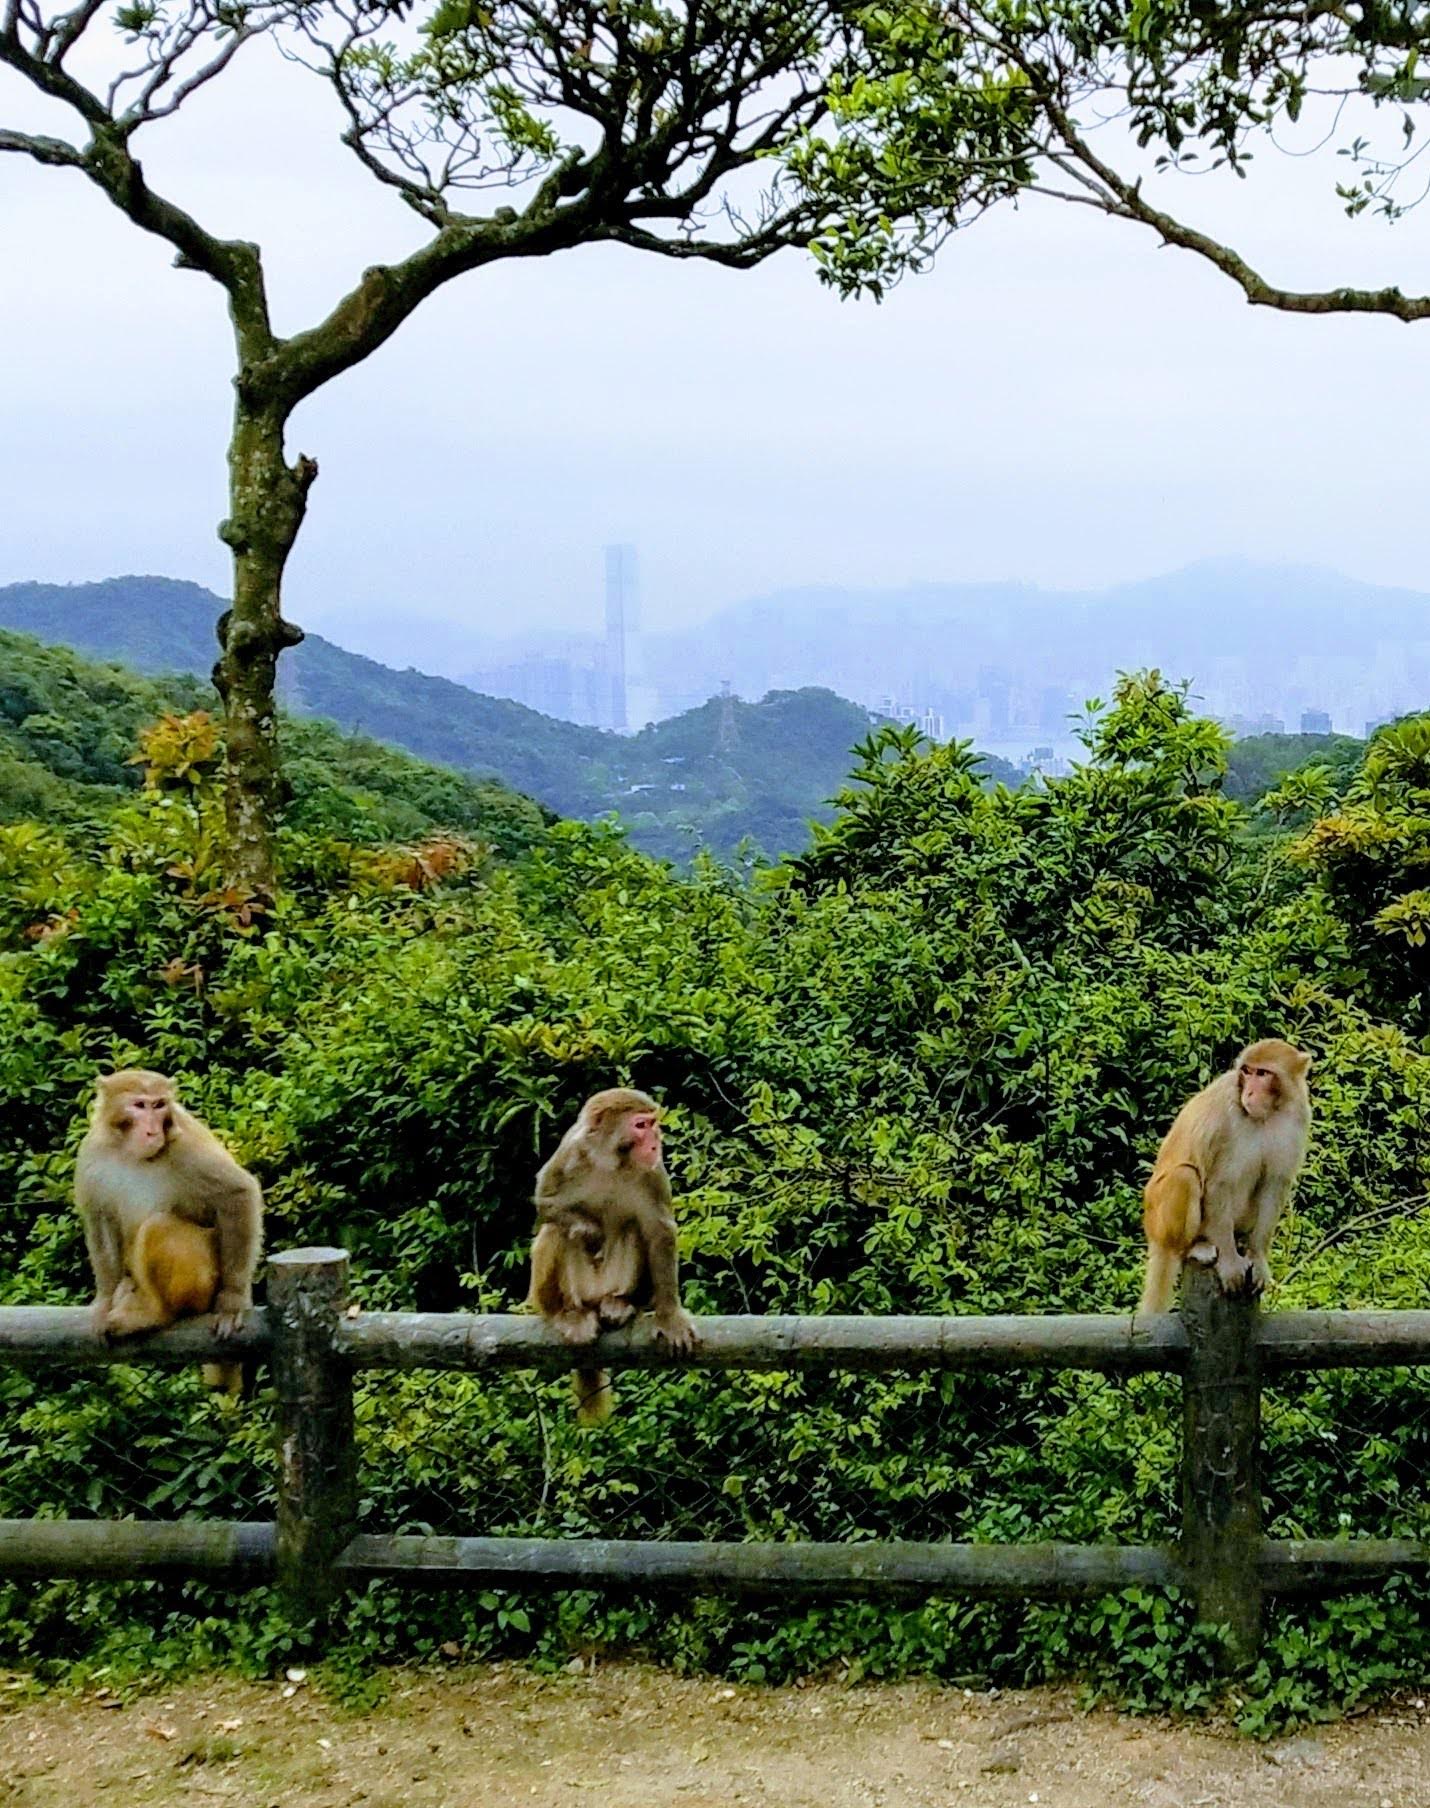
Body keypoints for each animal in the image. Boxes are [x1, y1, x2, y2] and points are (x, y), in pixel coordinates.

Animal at [73, 1063, 262, 1388]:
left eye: (159, 1105)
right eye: (140, 1105)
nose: (152, 1130)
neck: (130, 1153)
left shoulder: (185, 1144)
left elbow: (237, 1194)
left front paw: (233, 1300)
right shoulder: (92, 1155)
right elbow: (100, 1218)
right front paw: (105, 1299)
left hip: (205, 1281)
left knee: (160, 1226)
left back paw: (155, 1313)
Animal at [531, 1084, 697, 1424]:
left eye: (653, 1124)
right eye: (641, 1125)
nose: (656, 1141)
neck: (610, 1160)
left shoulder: (653, 1172)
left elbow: (658, 1230)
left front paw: (670, 1317)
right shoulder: (569, 1152)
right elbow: (546, 1202)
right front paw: (588, 1229)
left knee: (634, 1228)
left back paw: (620, 1303)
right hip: (568, 1291)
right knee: (555, 1231)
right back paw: (565, 1312)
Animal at [1135, 1048, 1316, 1316]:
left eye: (1262, 1073)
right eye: (1247, 1071)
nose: (1249, 1092)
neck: (1267, 1113)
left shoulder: (1297, 1116)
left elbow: (1274, 1184)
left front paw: (1258, 1257)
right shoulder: (1222, 1109)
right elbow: (1219, 1183)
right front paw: (1230, 1263)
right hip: (1158, 1222)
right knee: (1185, 1176)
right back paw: (1194, 1247)